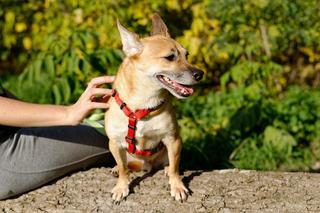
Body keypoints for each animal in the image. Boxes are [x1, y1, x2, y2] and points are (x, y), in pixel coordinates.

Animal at [106, 13, 204, 203]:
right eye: (170, 57)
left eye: (187, 55)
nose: (200, 74)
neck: (142, 103)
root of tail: (147, 166)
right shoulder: (114, 143)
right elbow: (123, 169)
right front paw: (121, 186)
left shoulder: (173, 140)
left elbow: (175, 166)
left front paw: (177, 186)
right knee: (126, 165)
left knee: (169, 163)